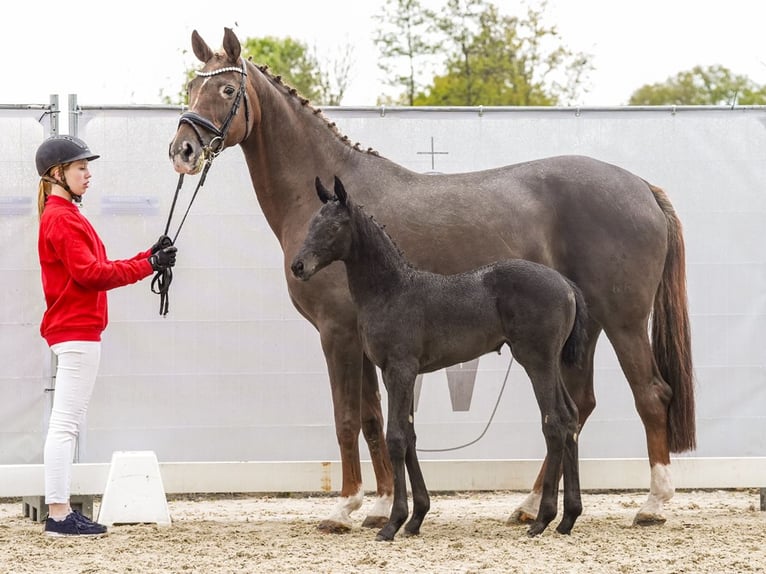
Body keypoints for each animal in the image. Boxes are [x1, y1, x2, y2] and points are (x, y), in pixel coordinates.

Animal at [170, 28, 696, 536]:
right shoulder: (365, 343)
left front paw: (345, 508)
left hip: (624, 322)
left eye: (227, 88)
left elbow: (346, 419)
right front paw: (382, 507)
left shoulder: (336, 334)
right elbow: (374, 419)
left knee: (650, 396)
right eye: (191, 86)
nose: (183, 150)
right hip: (580, 335)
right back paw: (532, 505)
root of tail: (642, 187)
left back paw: (653, 503)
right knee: (577, 408)